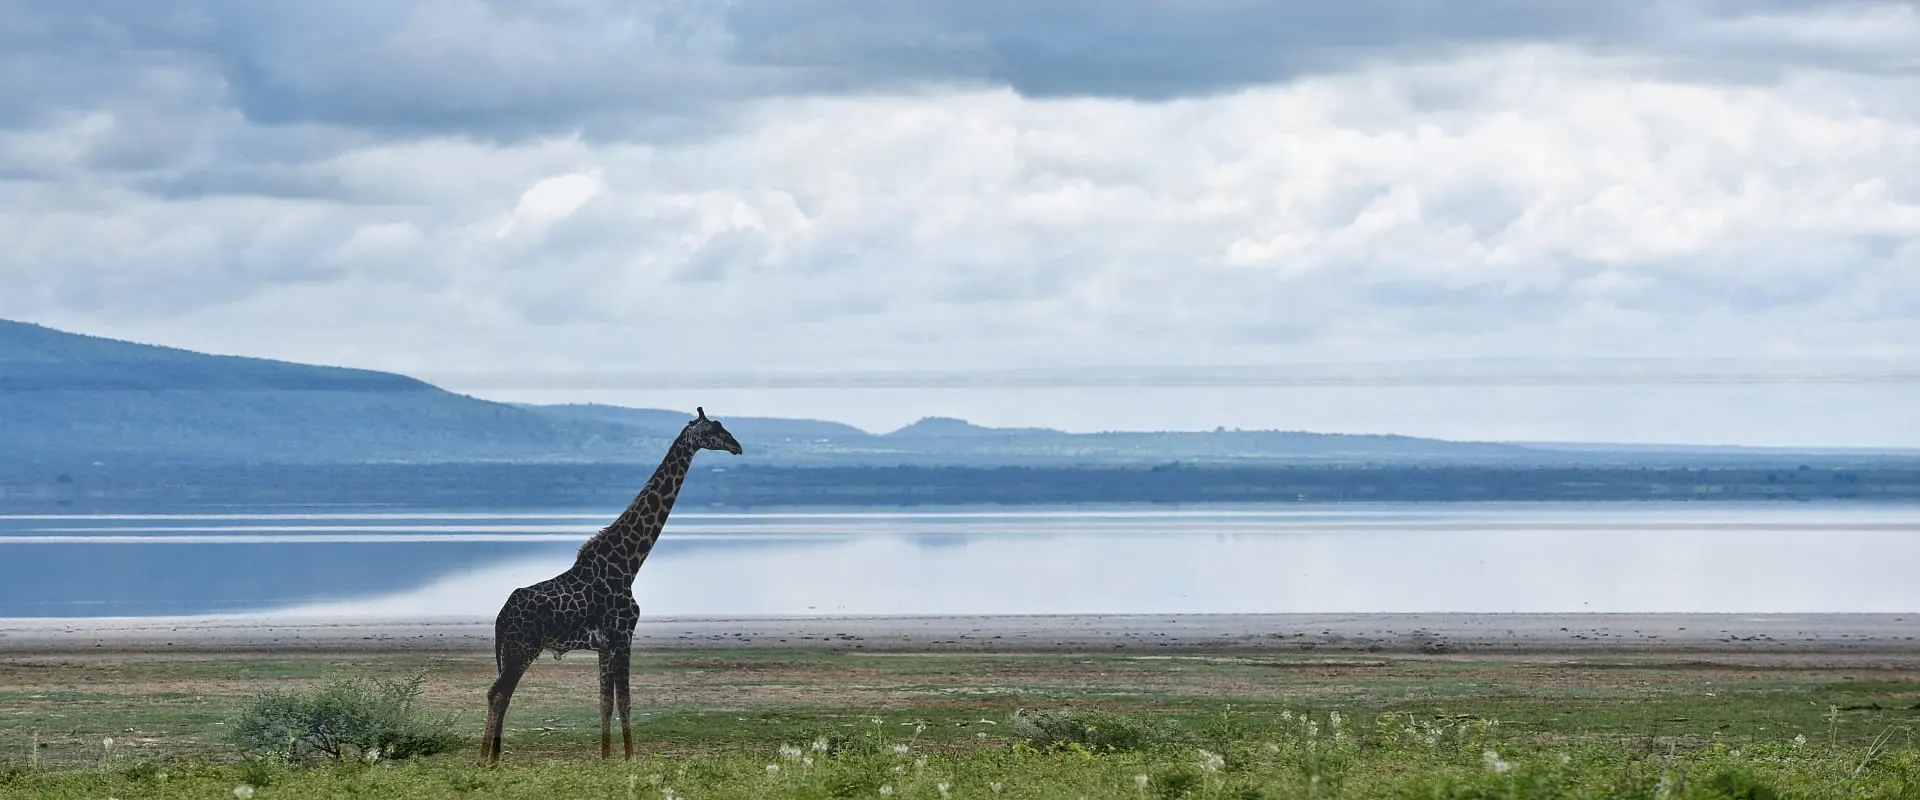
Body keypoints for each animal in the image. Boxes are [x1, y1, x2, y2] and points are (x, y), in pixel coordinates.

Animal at [480, 407, 742, 764]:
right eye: (713, 429)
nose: (737, 446)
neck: (628, 564)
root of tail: (501, 616)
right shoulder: (623, 634)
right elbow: (625, 701)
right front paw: (631, 758)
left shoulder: (604, 645)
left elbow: (605, 702)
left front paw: (605, 758)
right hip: (522, 647)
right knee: (497, 693)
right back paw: (485, 760)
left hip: (511, 650)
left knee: (501, 694)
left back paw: (494, 758)